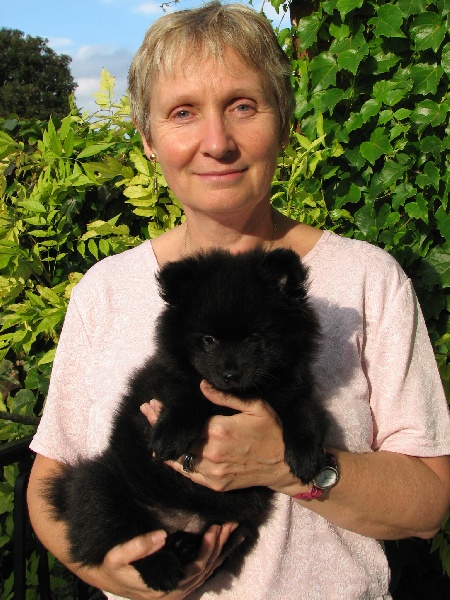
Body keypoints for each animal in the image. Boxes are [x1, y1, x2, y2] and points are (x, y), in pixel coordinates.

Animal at [44, 247, 326, 592]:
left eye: (256, 338)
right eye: (208, 340)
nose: (230, 374)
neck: (242, 395)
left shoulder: (291, 386)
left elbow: (303, 411)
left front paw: (306, 457)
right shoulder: (169, 382)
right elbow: (189, 394)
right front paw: (170, 435)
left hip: (238, 520)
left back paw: (184, 545)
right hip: (100, 485)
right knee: (121, 532)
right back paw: (162, 568)